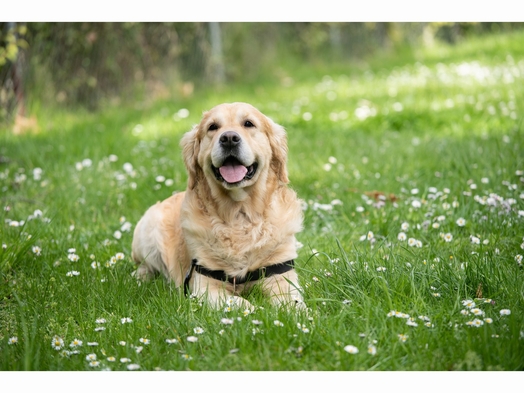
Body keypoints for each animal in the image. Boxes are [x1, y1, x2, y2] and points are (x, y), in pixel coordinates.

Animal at [131, 102, 304, 310]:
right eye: (212, 127)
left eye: (249, 123)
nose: (229, 138)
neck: (239, 215)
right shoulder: (204, 286)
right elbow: (240, 303)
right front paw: (258, 311)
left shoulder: (281, 276)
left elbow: (294, 303)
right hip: (147, 230)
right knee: (145, 266)